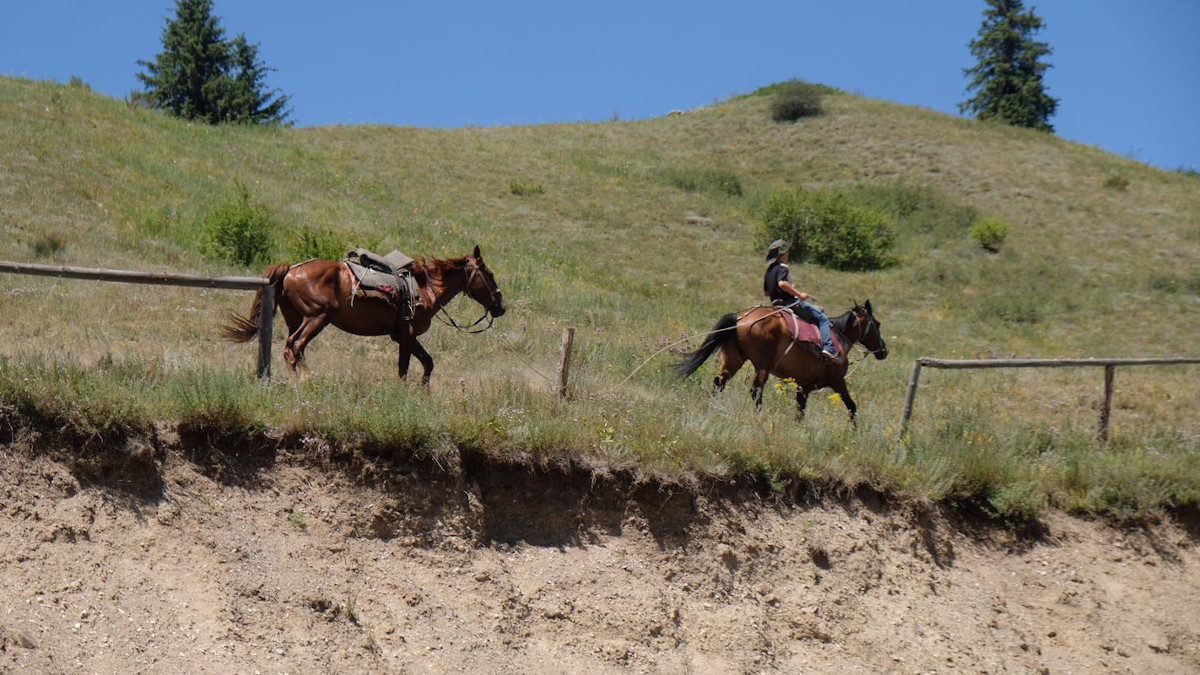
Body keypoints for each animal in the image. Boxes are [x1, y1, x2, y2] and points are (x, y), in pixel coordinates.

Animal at [223, 242, 504, 381]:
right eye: (490, 274)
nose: (501, 306)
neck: (425, 289)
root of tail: (292, 268)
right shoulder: (406, 335)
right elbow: (404, 369)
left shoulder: (404, 336)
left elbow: (428, 363)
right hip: (318, 317)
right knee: (293, 346)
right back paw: (302, 382)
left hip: (296, 318)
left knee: (297, 348)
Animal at [681, 300, 888, 420]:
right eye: (877, 324)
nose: (884, 351)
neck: (839, 336)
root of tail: (740, 317)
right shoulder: (837, 381)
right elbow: (851, 406)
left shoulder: (804, 386)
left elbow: (800, 410)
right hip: (762, 366)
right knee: (756, 391)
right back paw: (761, 417)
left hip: (734, 360)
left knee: (719, 382)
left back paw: (713, 405)